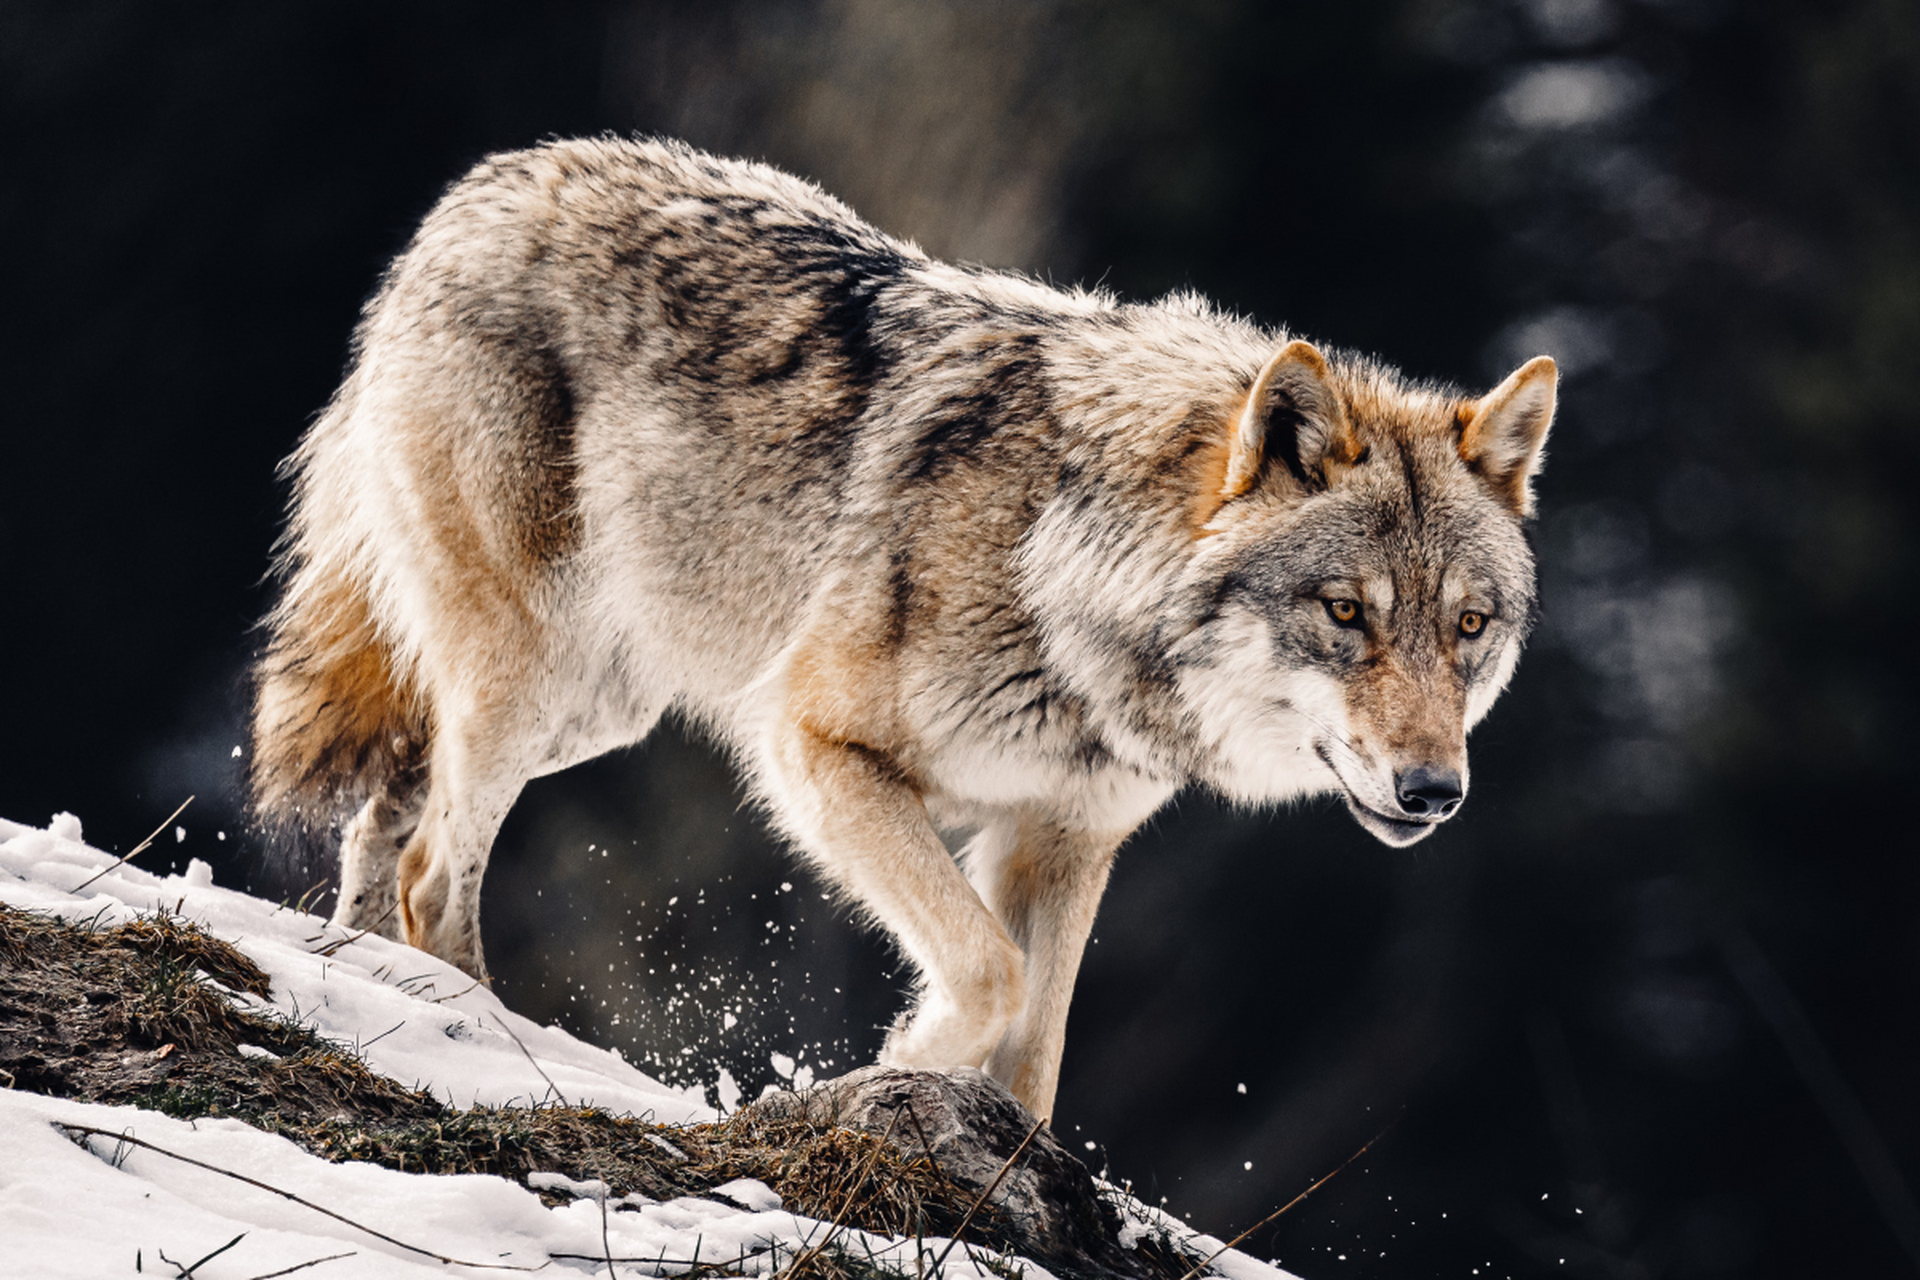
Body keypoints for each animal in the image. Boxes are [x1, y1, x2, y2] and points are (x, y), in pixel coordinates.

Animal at [247, 135, 1551, 1113]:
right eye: (1347, 612)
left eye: (1469, 626)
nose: (1437, 790)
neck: (1063, 565)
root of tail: (483, 183)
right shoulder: (816, 748)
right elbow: (988, 974)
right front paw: (862, 1084)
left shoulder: (1061, 842)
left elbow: (1035, 1059)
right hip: (539, 680)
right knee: (431, 868)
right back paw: (492, 1036)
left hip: (596, 703)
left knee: (387, 817)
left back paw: (368, 983)